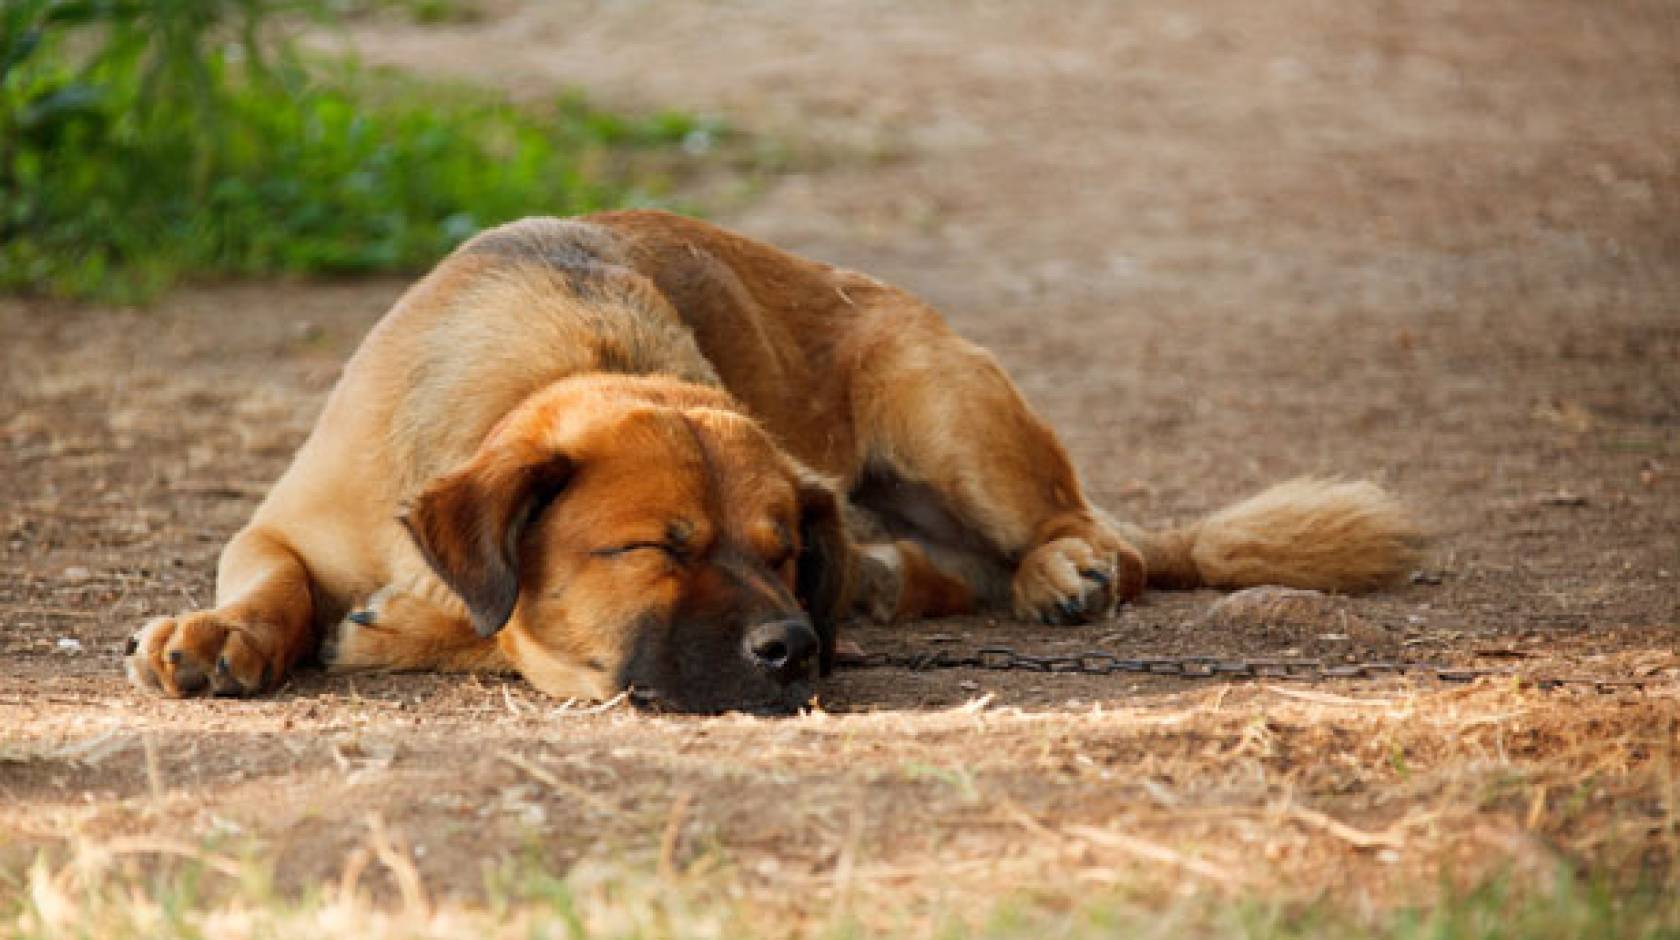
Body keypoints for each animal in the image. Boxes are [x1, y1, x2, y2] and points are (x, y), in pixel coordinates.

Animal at [124, 211, 1424, 711]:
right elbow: (273, 579)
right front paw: (225, 632)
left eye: (781, 552)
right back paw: (906, 581)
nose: (797, 647)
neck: (551, 364)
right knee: (951, 570)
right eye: (658, 549)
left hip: (941, 408)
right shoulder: (278, 524)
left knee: (1102, 535)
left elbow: (475, 620)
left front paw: (405, 625)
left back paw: (1066, 568)